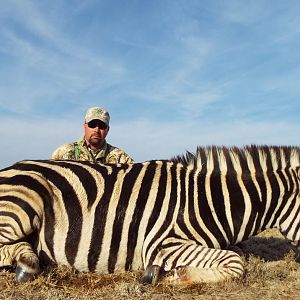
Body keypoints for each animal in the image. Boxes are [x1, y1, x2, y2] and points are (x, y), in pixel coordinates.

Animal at [0, 145, 298, 284]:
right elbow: (236, 262)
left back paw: (28, 261)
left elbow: (236, 253)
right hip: (22, 205)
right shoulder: (162, 243)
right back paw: (27, 264)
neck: (211, 200)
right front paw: (173, 276)